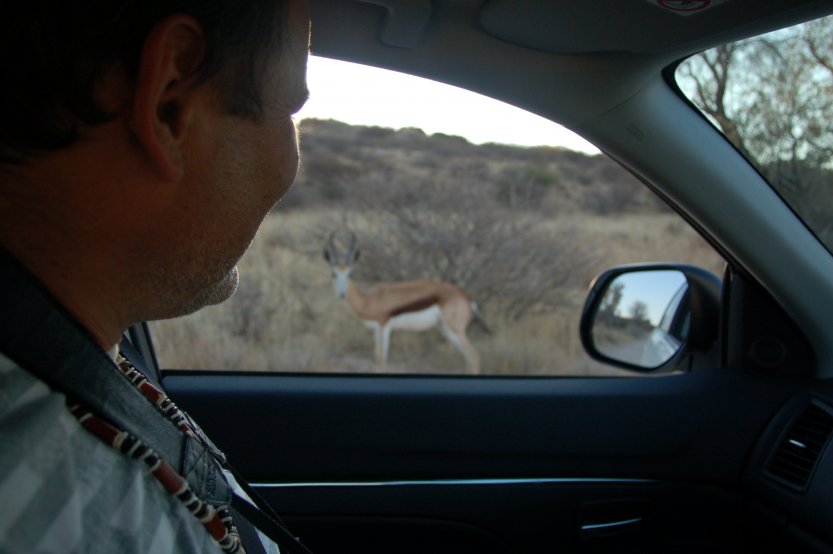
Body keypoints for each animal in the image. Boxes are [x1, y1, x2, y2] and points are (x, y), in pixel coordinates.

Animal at [322, 231, 484, 374]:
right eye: (333, 273)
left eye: (350, 273)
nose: (342, 295)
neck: (368, 300)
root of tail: (465, 296)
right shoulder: (376, 330)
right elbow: (377, 359)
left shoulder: (384, 327)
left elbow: (381, 360)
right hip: (446, 329)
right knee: (468, 359)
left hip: (455, 330)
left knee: (474, 356)